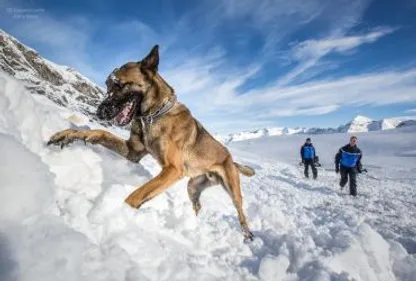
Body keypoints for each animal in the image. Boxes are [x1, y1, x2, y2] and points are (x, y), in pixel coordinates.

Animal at [47, 44, 255, 240]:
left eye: (119, 84)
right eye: (107, 84)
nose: (99, 112)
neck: (152, 116)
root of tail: (231, 159)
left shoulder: (172, 170)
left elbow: (137, 194)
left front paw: (121, 214)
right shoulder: (132, 153)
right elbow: (101, 133)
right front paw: (70, 134)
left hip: (232, 190)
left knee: (241, 211)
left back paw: (248, 234)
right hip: (192, 188)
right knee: (197, 205)